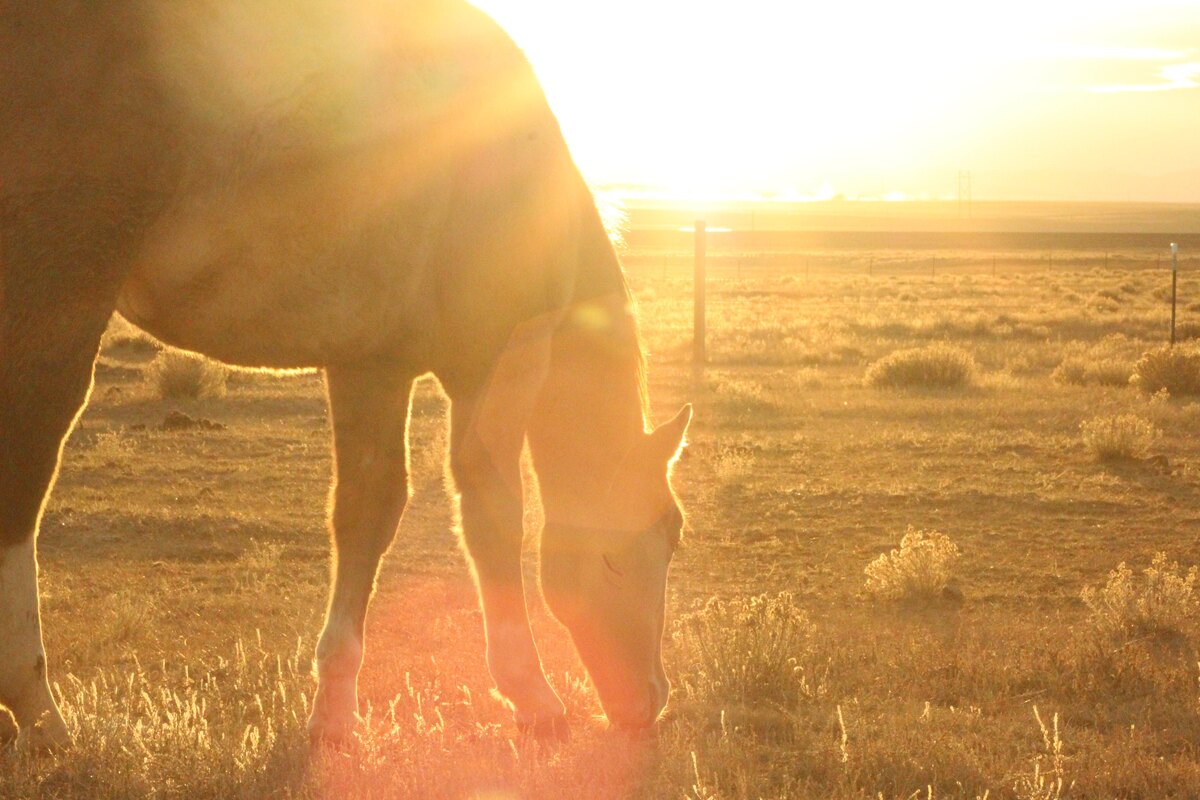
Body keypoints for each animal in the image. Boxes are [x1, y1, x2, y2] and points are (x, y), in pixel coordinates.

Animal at [0, 0, 690, 750]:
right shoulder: (491, 361)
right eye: (667, 531)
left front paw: (333, 708)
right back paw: (39, 709)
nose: (649, 701)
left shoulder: (371, 366)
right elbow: (491, 513)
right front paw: (531, 695)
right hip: (57, 307)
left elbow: (367, 512)